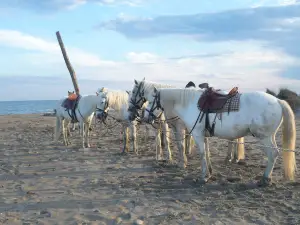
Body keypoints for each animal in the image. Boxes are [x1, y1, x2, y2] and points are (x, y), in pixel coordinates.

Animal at [145, 87, 296, 185]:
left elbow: (201, 154)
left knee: (273, 154)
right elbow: (207, 153)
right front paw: (209, 174)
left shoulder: (197, 134)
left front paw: (203, 177)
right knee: (274, 154)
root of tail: (278, 101)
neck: (189, 104)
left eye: (150, 101)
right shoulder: (204, 136)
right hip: (270, 137)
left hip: (264, 137)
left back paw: (265, 179)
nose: (146, 118)